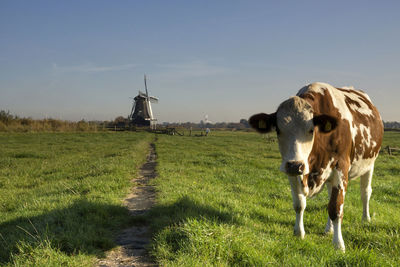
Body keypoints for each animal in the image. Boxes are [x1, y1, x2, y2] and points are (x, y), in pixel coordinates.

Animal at [250, 81, 384, 251]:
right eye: (278, 130)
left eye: (311, 129)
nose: (295, 165)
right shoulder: (294, 171)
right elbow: (299, 204)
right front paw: (299, 232)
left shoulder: (340, 167)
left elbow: (336, 208)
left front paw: (338, 244)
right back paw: (329, 228)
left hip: (369, 164)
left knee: (365, 192)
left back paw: (365, 219)